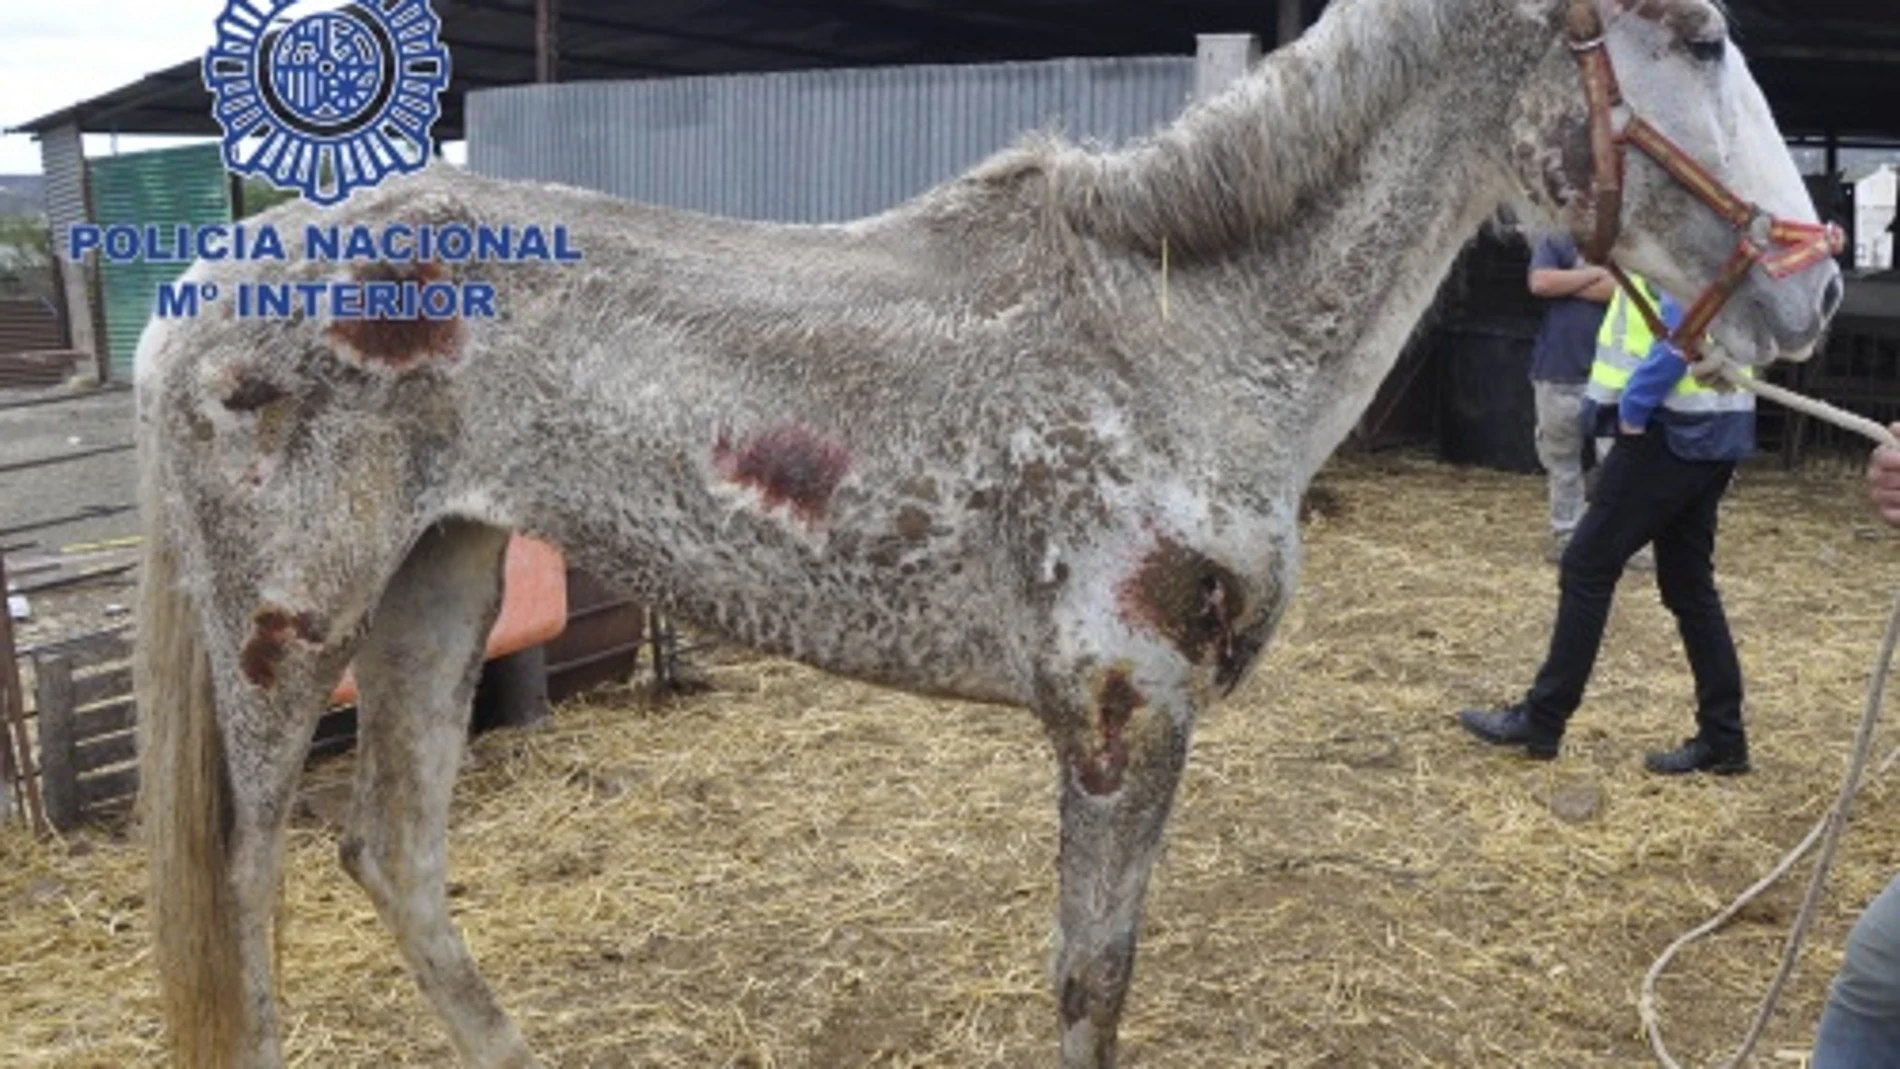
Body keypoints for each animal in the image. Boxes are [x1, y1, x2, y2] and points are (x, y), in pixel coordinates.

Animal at [131, 0, 1841, 1064]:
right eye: (1699, 36)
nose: (1816, 288)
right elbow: (1091, 984)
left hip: (444, 582)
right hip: (290, 635)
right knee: (252, 908)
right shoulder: (1120, 716)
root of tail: (193, 293)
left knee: (396, 857)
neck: (1179, 335)